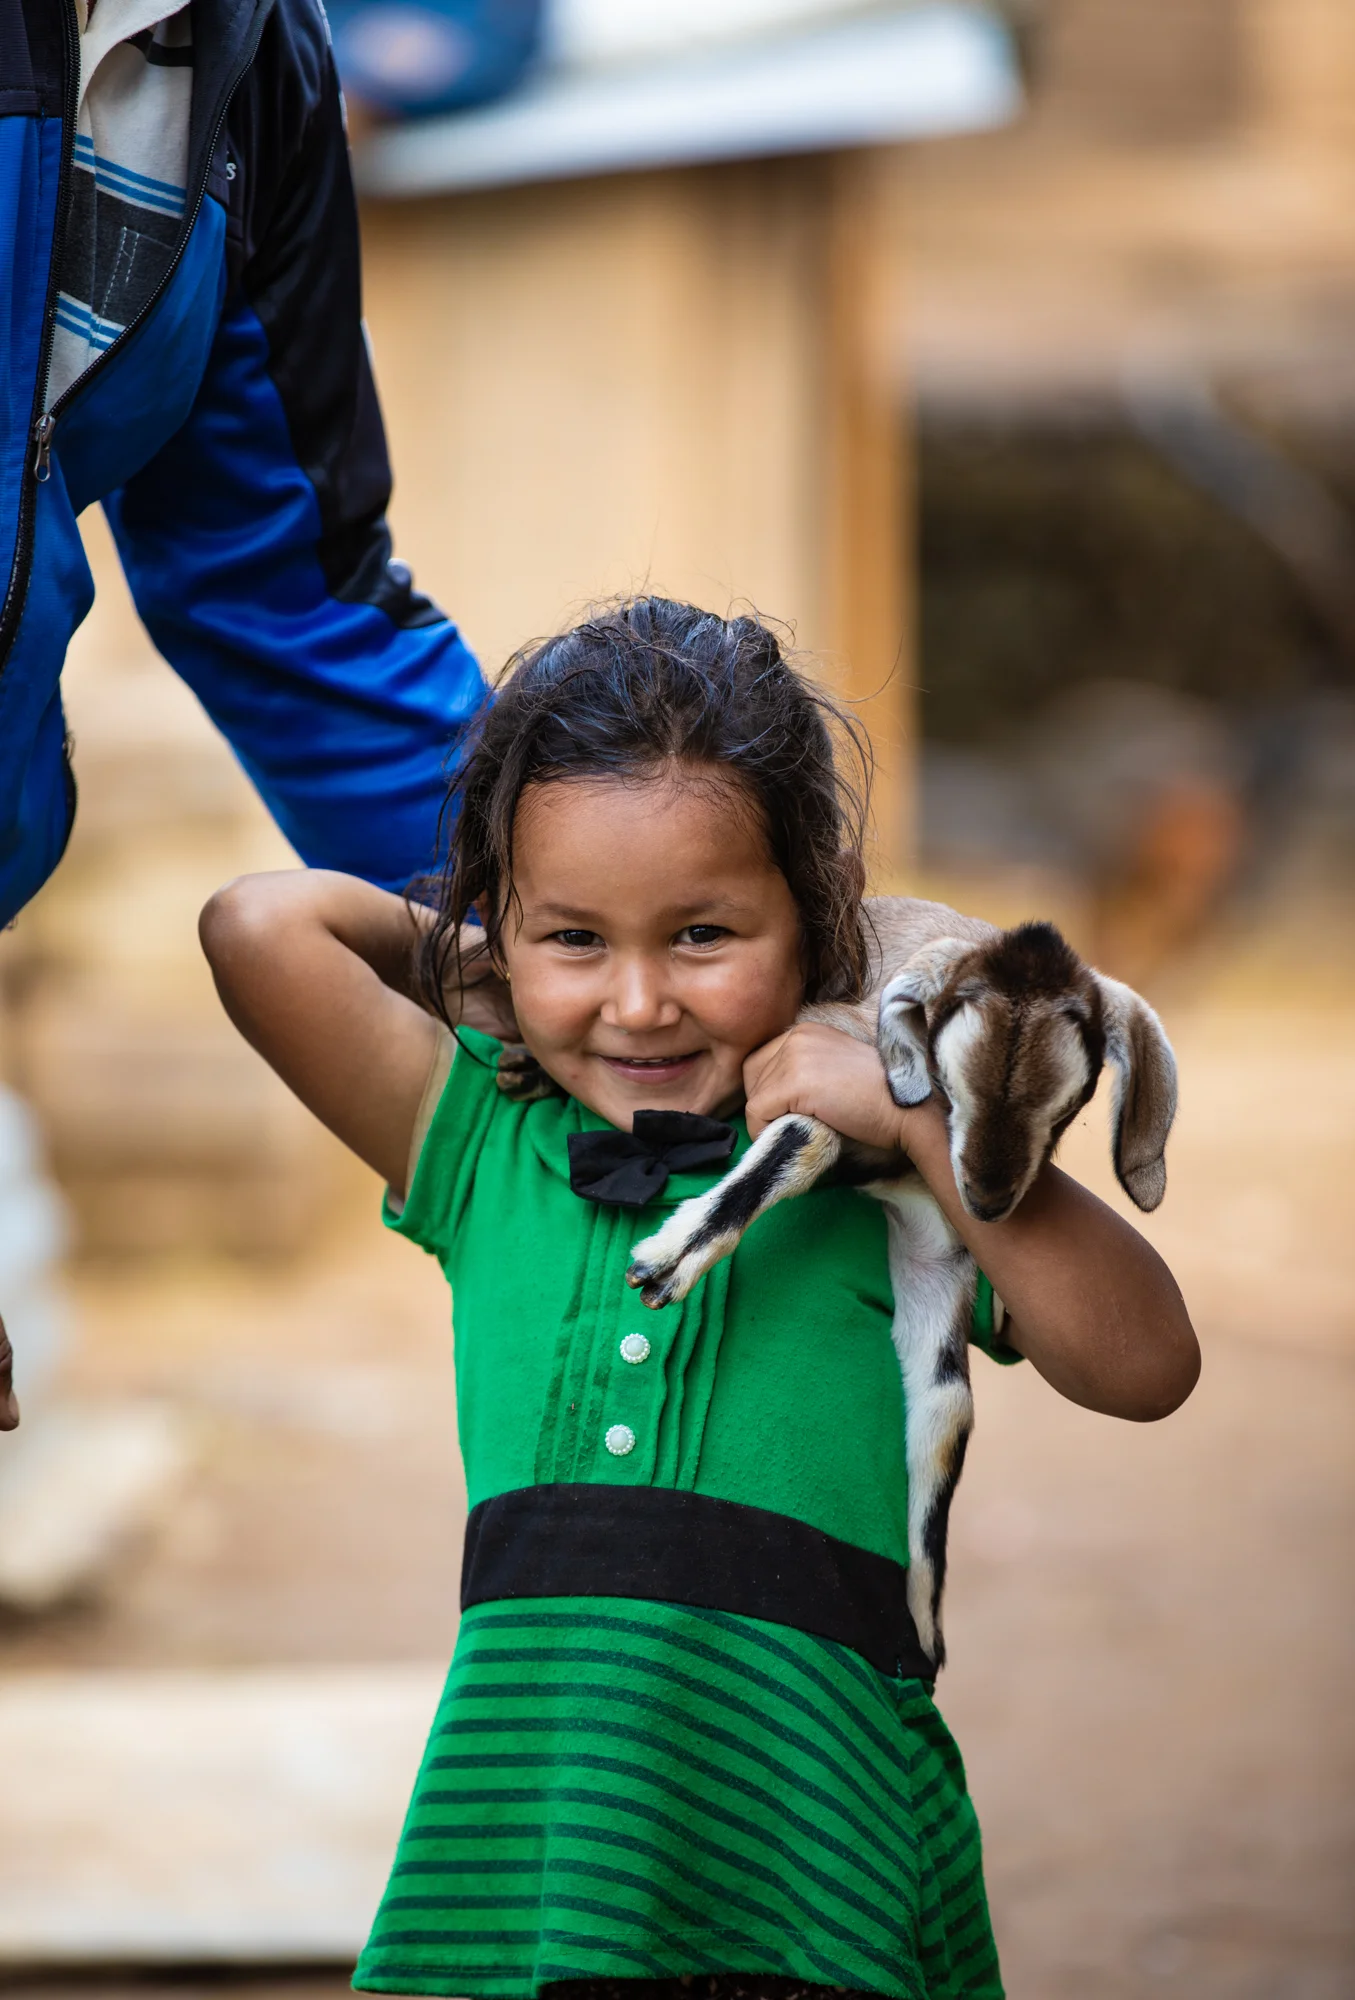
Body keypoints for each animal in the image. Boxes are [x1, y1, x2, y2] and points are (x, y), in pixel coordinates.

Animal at [622, 898, 1178, 1668]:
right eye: (951, 1081)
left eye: (1070, 1101)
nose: (987, 1202)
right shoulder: (805, 1055)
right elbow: (808, 1137)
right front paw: (668, 1261)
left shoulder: (934, 1240)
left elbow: (945, 1408)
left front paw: (918, 1620)